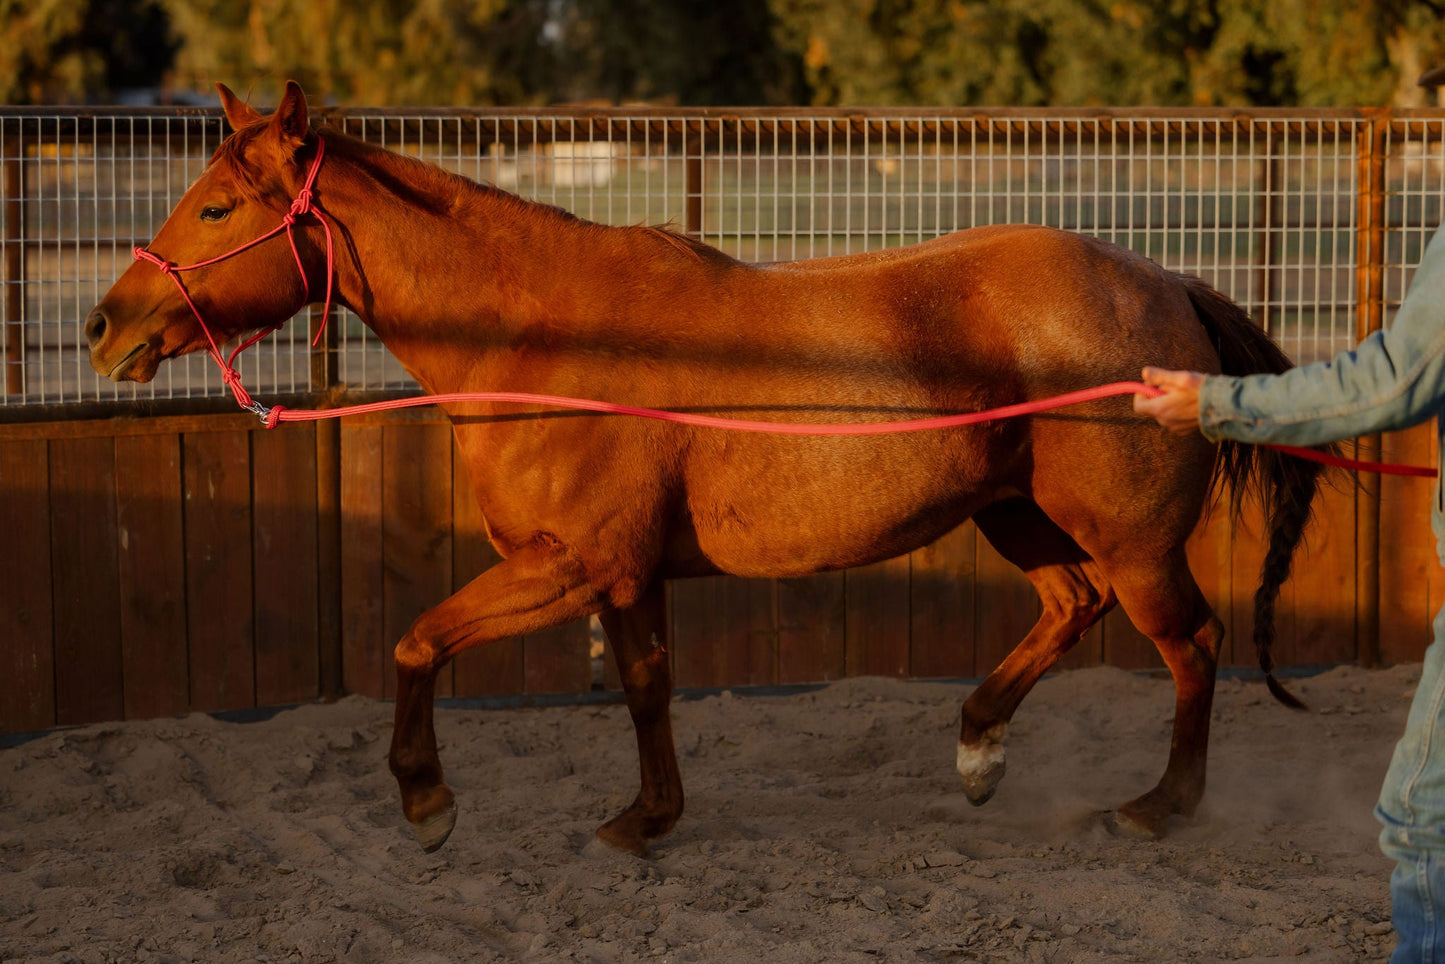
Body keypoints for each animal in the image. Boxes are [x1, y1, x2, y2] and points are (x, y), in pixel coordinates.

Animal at [85, 82, 1323, 857]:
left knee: (1190, 646)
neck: (549, 340)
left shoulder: (568, 564)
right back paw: (976, 750)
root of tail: (1166, 286)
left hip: (1128, 540)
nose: (105, 327)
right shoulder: (626, 575)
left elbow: (416, 644)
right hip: (1014, 515)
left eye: (216, 204)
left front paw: (429, 805)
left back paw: (1159, 806)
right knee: (1070, 608)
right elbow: (645, 689)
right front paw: (646, 819)